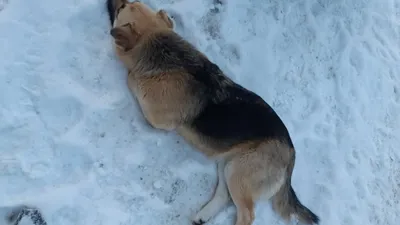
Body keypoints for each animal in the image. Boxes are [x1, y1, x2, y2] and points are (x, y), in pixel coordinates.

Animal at [105, 0, 318, 224]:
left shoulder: (156, 117)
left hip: (239, 173)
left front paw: (133, 76)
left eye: (122, 9)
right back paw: (202, 216)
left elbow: (132, 80)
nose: (113, 2)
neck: (168, 54)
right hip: (229, 166)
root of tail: (291, 151)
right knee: (224, 196)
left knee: (247, 214)